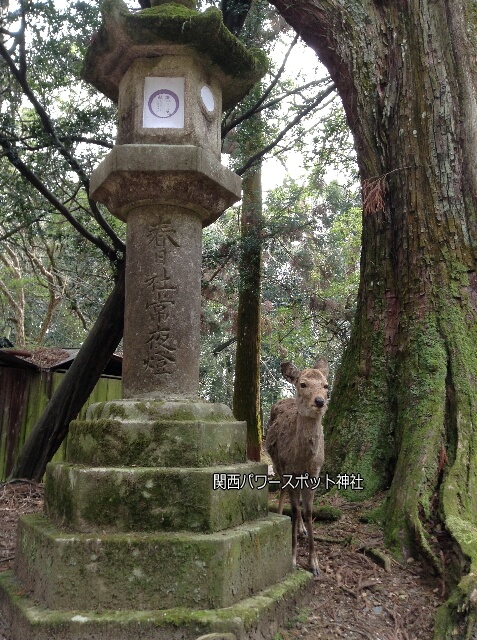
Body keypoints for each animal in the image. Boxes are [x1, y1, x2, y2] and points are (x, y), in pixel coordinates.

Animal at [264, 360, 328, 576]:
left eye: (326, 385)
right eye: (303, 384)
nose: (320, 401)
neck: (301, 460)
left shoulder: (314, 473)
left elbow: (307, 511)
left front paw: (314, 564)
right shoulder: (289, 470)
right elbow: (294, 509)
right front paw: (292, 560)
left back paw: (302, 530)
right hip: (276, 464)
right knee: (283, 490)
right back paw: (280, 515)